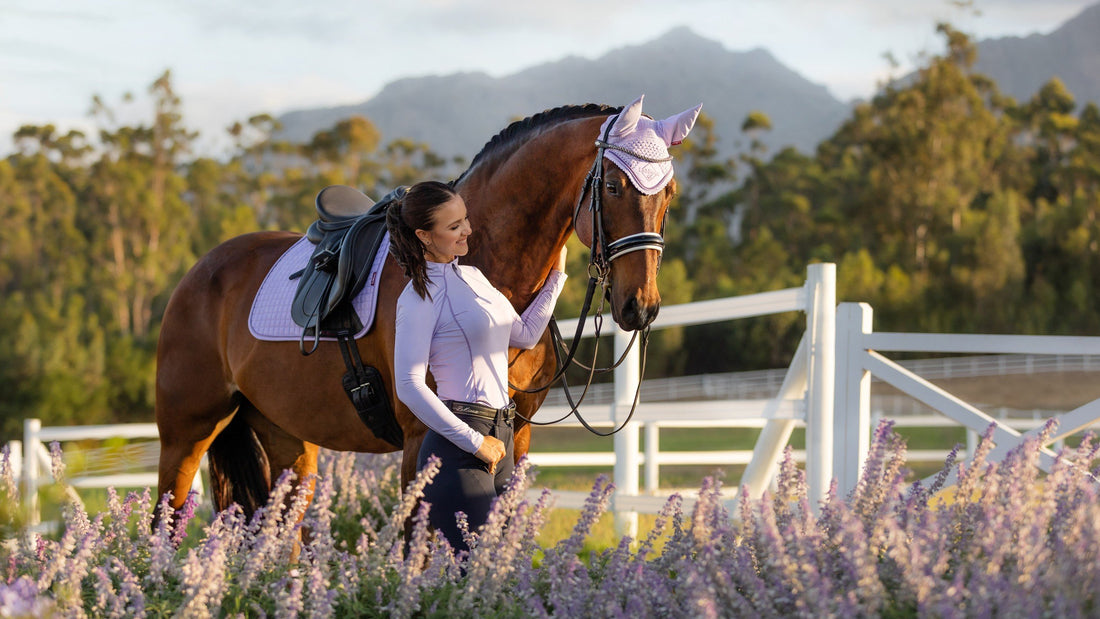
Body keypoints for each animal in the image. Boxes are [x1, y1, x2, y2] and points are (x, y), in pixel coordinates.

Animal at [155, 96, 699, 521]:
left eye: (669, 193)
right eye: (612, 187)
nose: (641, 306)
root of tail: (198, 272)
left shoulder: (517, 435)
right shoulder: (424, 438)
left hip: (286, 436)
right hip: (186, 434)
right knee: (166, 520)